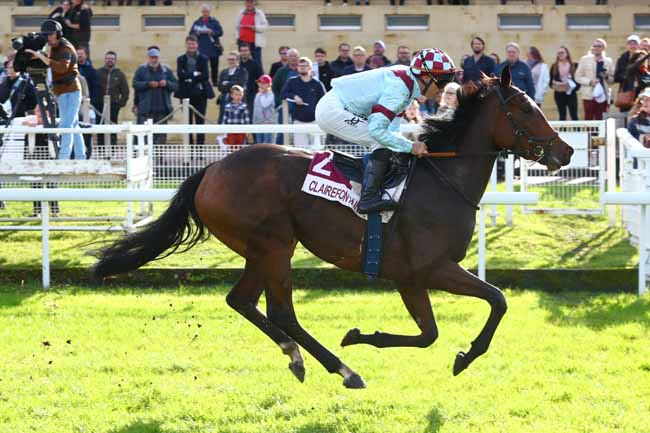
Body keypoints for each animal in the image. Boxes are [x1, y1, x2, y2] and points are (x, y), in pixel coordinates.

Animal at [93, 67, 573, 389]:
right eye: (525, 108)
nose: (566, 151)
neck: (443, 179)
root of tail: (210, 170)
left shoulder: (410, 278)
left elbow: (430, 334)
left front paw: (365, 335)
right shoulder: (430, 269)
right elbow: (496, 301)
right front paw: (464, 356)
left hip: (260, 249)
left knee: (243, 301)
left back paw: (299, 358)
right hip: (275, 246)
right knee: (281, 311)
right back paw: (344, 370)